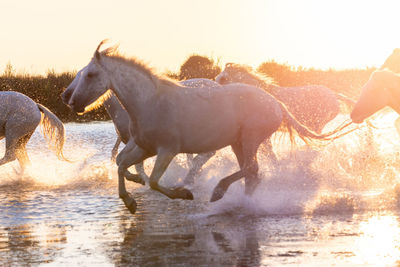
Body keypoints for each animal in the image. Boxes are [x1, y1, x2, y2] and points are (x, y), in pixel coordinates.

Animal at [62, 68, 217, 186]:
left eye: (86, 77)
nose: (65, 95)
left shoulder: (137, 142)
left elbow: (131, 164)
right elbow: (130, 164)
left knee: (207, 154)